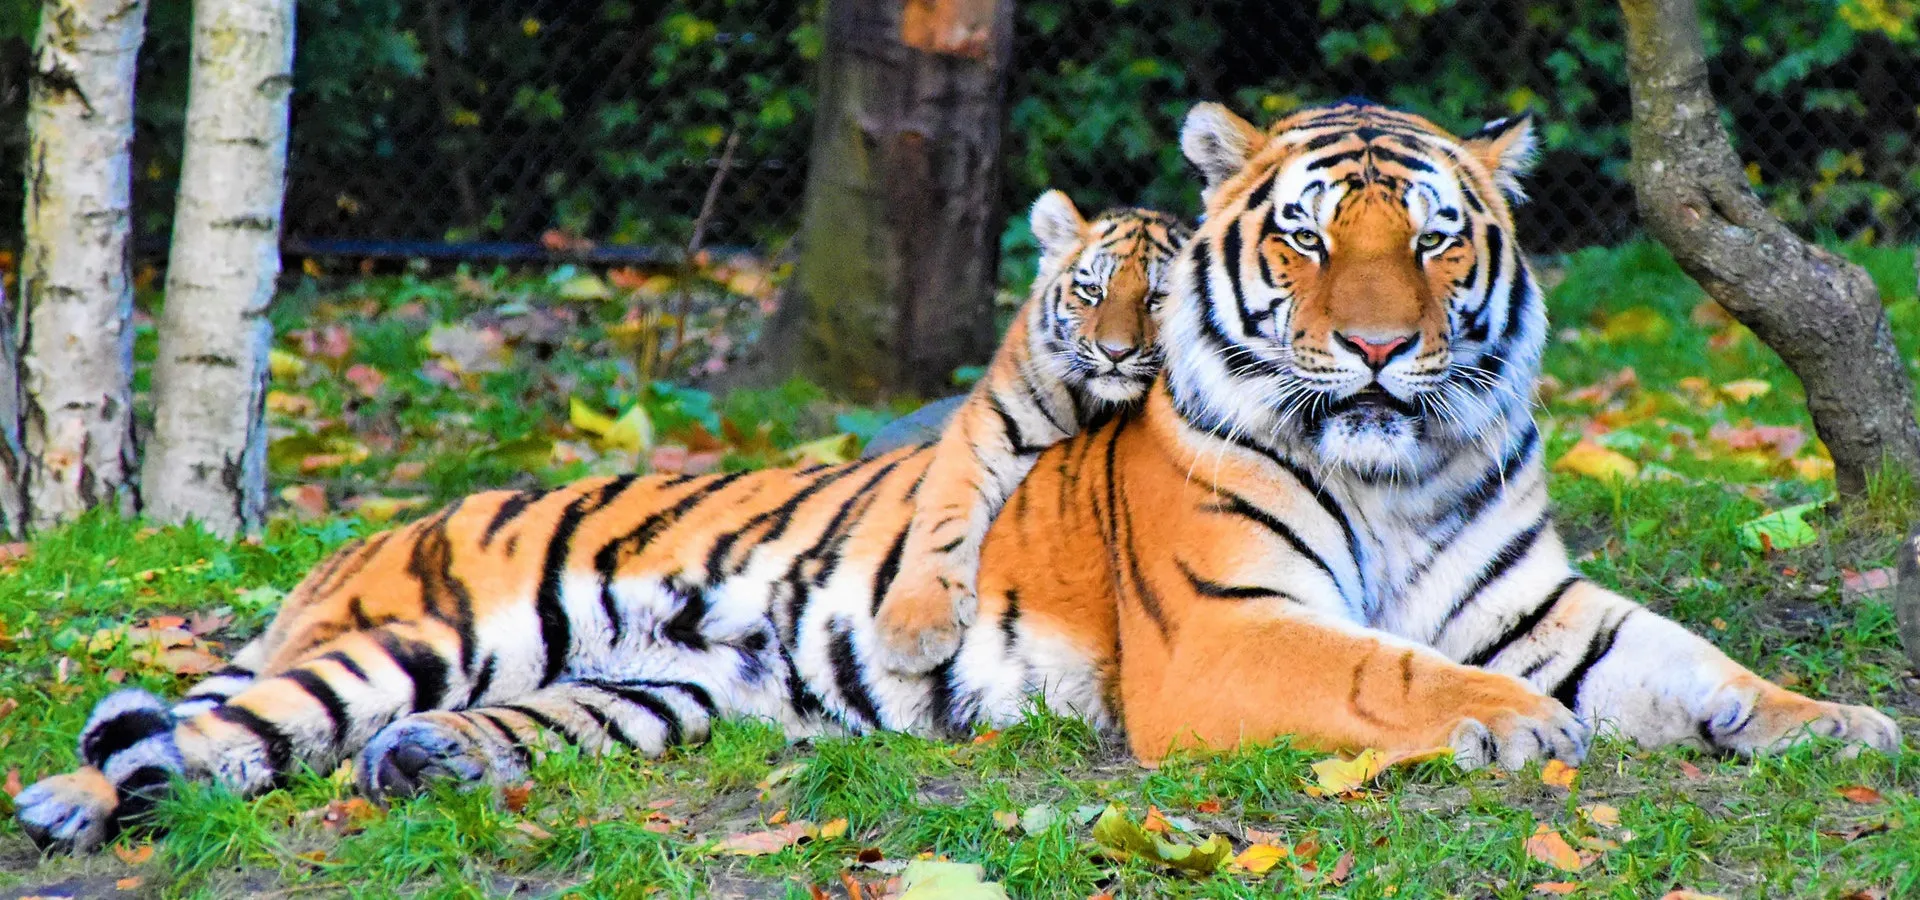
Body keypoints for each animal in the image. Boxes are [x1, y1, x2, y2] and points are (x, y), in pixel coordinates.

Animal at [871, 191, 1187, 673]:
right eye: (1093, 291)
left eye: (1158, 297)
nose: (1115, 353)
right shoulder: (985, 428)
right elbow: (944, 516)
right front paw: (913, 629)